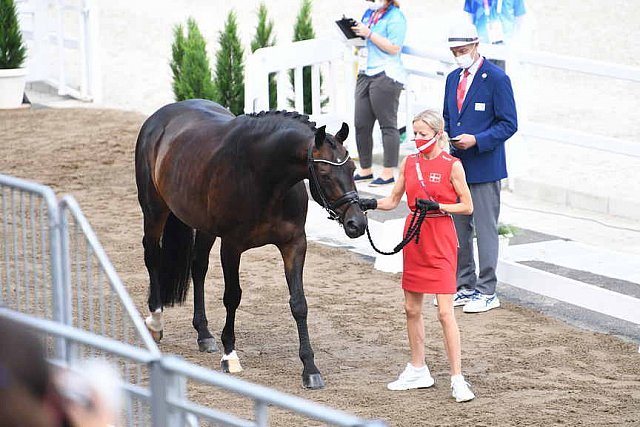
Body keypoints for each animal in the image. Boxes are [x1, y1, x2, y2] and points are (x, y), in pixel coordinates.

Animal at [135, 99, 364, 388]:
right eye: (324, 173)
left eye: (352, 169)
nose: (357, 223)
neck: (263, 175)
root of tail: (160, 115)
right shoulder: (231, 247)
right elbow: (232, 297)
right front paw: (230, 355)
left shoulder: (294, 244)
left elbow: (299, 303)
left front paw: (310, 368)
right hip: (154, 211)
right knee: (152, 256)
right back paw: (156, 322)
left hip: (204, 227)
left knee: (198, 268)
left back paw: (204, 334)